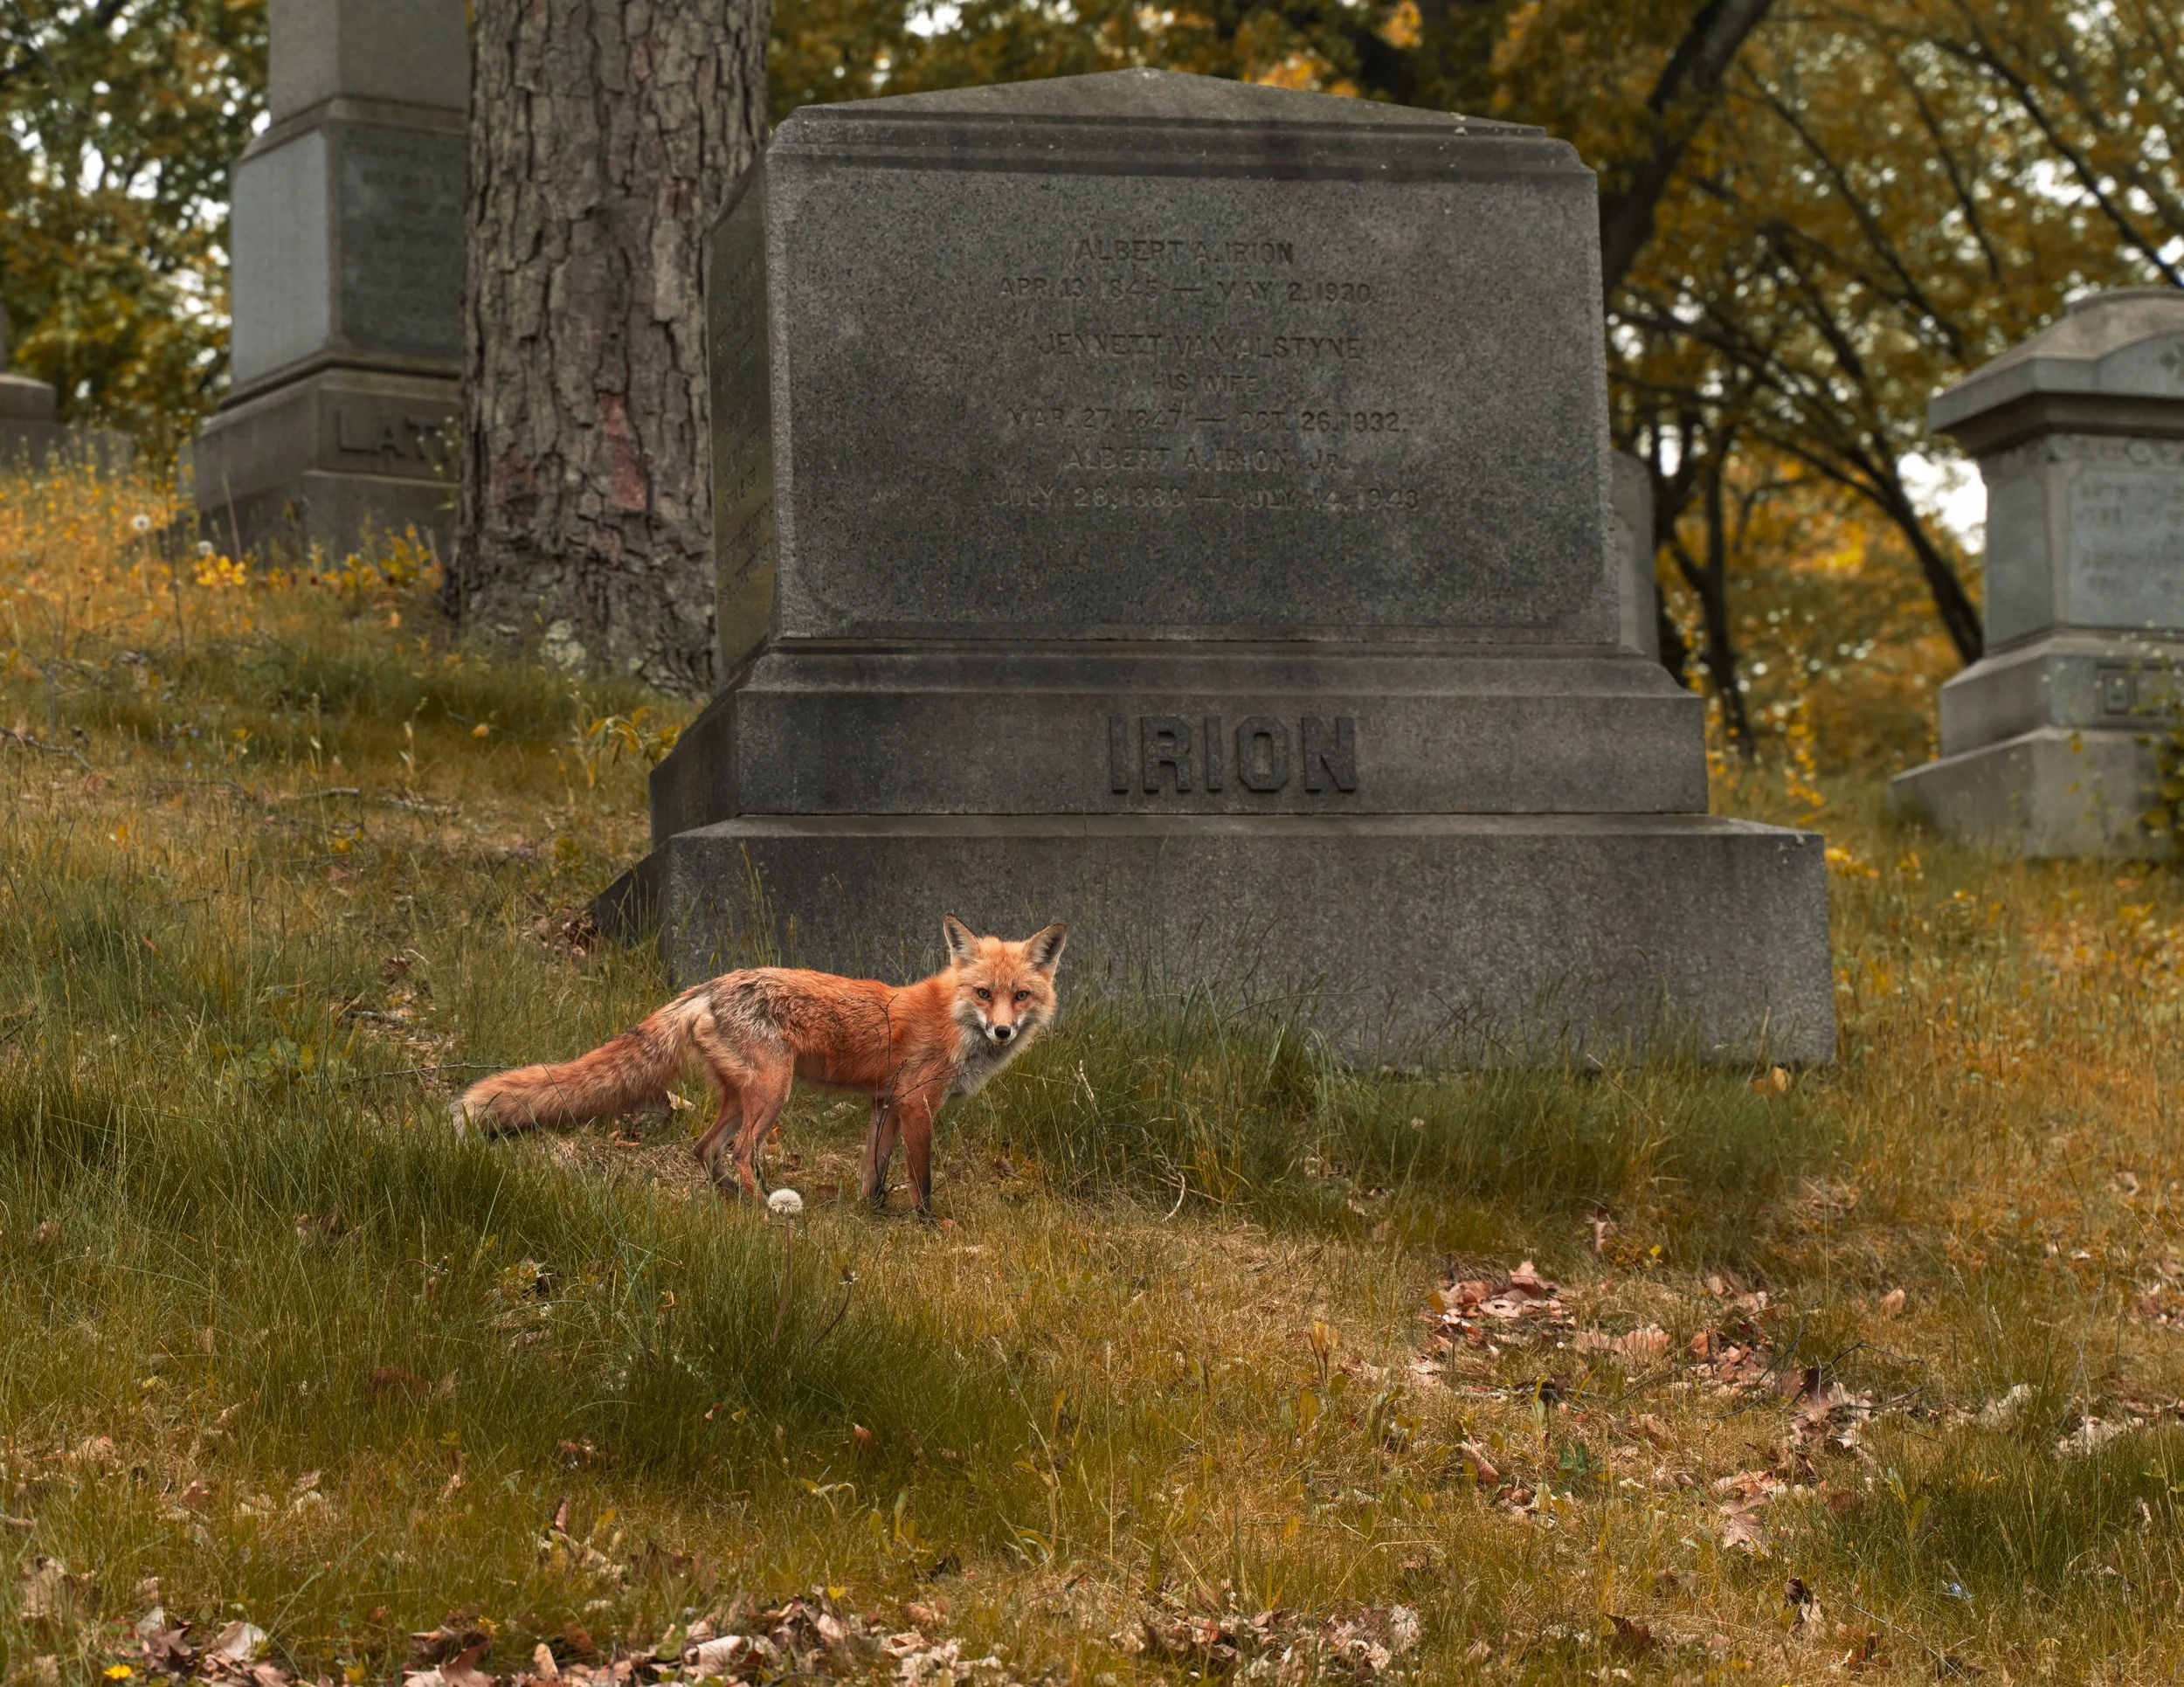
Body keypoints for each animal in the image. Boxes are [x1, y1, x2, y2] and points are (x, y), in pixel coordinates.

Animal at [454, 916, 1067, 1216]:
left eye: (1021, 996)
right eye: (984, 994)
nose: (1003, 1030)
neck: (954, 1021)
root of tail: (712, 986)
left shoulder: (884, 1103)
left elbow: (874, 1174)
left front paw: (871, 1217)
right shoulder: (917, 1103)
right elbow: (923, 1180)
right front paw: (926, 1226)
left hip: (741, 1096)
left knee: (702, 1149)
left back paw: (729, 1199)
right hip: (774, 1094)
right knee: (740, 1153)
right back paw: (763, 1212)